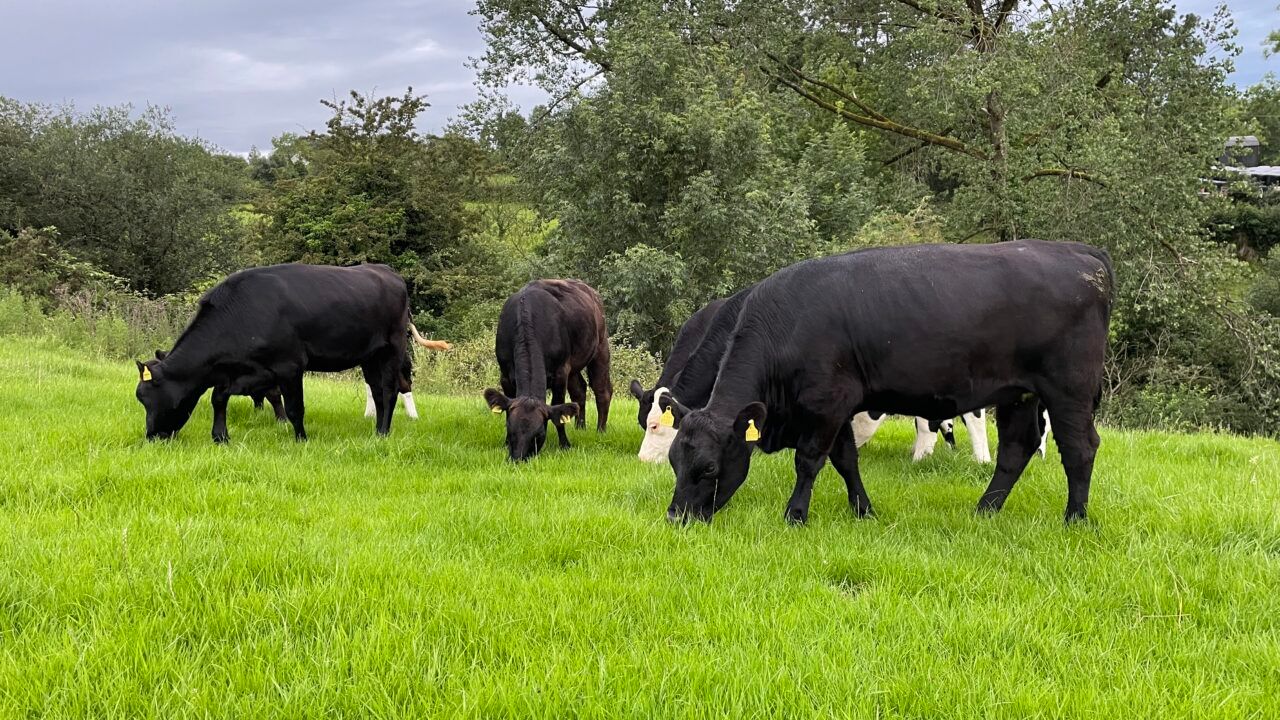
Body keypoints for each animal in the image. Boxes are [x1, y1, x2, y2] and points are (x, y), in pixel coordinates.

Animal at [134, 263, 434, 443]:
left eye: (153, 399)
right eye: (141, 399)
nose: (151, 435)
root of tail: (385, 270)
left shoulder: (289, 366)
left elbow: (294, 407)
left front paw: (301, 439)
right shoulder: (250, 371)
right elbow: (219, 398)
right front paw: (220, 437)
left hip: (393, 347)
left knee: (390, 389)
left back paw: (383, 432)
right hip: (369, 356)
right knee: (377, 391)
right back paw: (377, 431)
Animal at [483, 279, 613, 461]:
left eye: (539, 434)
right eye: (510, 429)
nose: (518, 458)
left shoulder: (560, 372)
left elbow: (558, 410)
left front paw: (564, 444)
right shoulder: (505, 376)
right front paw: (505, 444)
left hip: (600, 347)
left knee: (602, 391)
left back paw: (600, 430)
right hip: (573, 366)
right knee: (579, 391)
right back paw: (580, 427)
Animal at [660, 240, 1113, 525]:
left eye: (708, 467)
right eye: (674, 461)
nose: (675, 517)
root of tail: (1079, 251)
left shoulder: (827, 402)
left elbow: (809, 460)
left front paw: (795, 514)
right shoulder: (838, 407)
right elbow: (846, 460)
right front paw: (864, 511)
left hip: (1067, 390)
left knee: (1079, 449)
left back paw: (1074, 519)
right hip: (1019, 394)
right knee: (1016, 450)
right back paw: (985, 511)